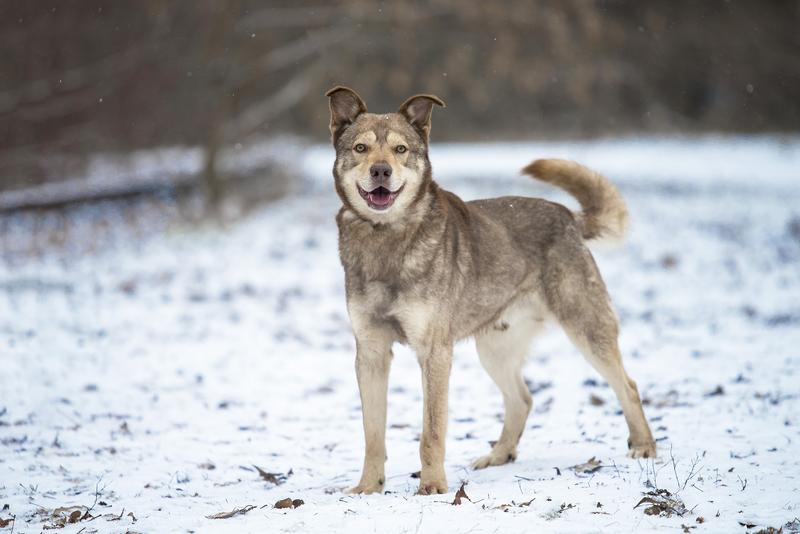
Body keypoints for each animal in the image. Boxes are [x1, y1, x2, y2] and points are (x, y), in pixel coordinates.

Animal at [324, 86, 656, 496]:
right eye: (361, 148)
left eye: (400, 149)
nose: (381, 171)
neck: (386, 237)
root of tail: (568, 217)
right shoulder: (371, 352)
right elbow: (372, 433)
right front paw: (368, 488)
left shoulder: (434, 353)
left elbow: (431, 431)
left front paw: (432, 487)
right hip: (495, 349)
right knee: (522, 399)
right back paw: (499, 455)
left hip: (585, 327)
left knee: (628, 385)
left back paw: (644, 446)